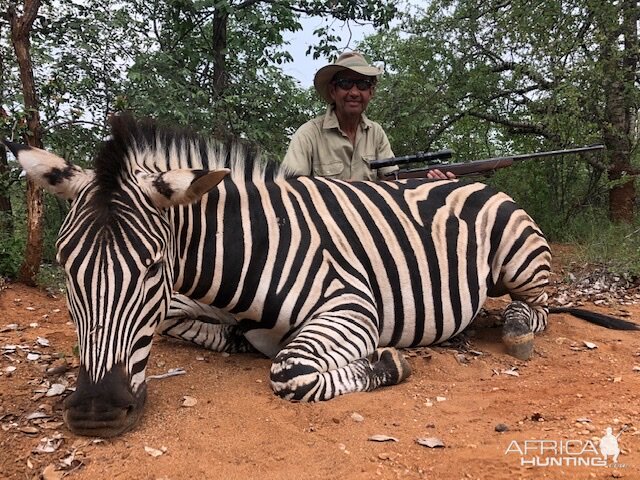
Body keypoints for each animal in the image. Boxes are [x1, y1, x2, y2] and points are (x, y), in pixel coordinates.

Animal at [6, 114, 640, 436]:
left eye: (153, 267)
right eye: (66, 267)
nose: (94, 412)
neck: (242, 250)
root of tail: (473, 179)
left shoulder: (351, 304)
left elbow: (291, 370)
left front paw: (390, 362)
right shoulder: (187, 305)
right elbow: (185, 327)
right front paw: (238, 337)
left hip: (519, 255)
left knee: (537, 307)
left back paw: (516, 330)